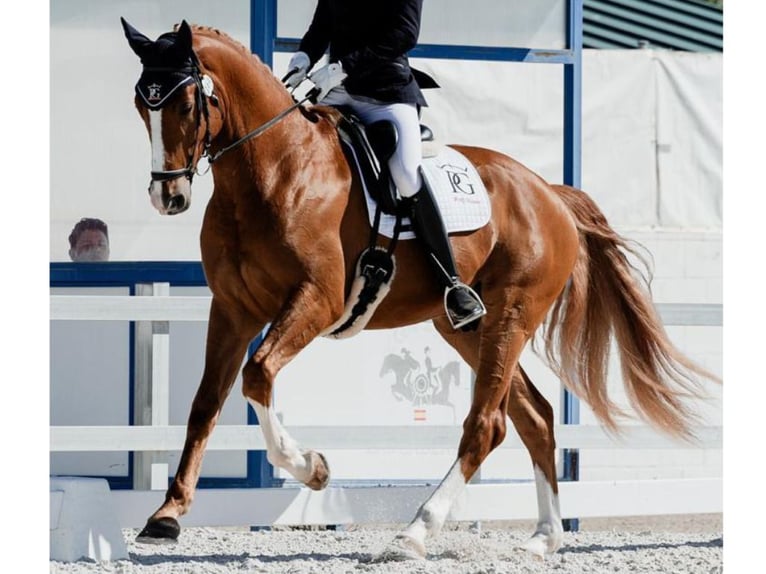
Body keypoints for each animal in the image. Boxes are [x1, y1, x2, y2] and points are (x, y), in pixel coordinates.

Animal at [123, 20, 716, 560]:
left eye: (185, 104)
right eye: (141, 105)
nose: (167, 198)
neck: (273, 169)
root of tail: (548, 192)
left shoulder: (316, 300)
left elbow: (258, 373)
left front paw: (312, 468)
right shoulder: (233, 308)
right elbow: (206, 402)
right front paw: (167, 515)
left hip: (513, 313)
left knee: (486, 424)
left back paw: (413, 534)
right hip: (467, 326)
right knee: (535, 416)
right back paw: (543, 537)